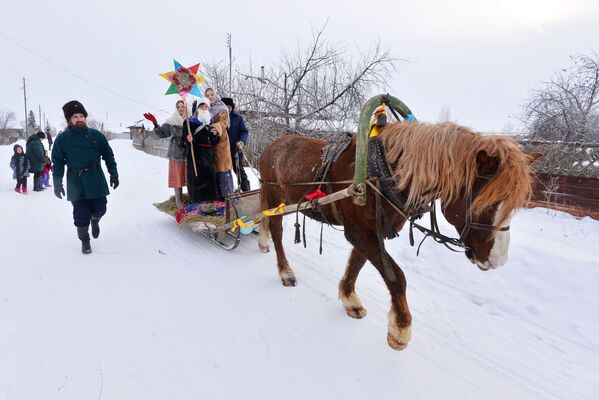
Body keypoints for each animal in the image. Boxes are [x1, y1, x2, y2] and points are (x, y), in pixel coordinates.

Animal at [255, 122, 540, 350]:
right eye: (486, 203)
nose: (498, 260)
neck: (382, 174)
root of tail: (272, 145)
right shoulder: (359, 232)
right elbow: (397, 277)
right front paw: (400, 330)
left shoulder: (371, 233)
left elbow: (358, 264)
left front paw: (349, 299)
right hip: (275, 198)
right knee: (277, 232)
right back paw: (285, 271)